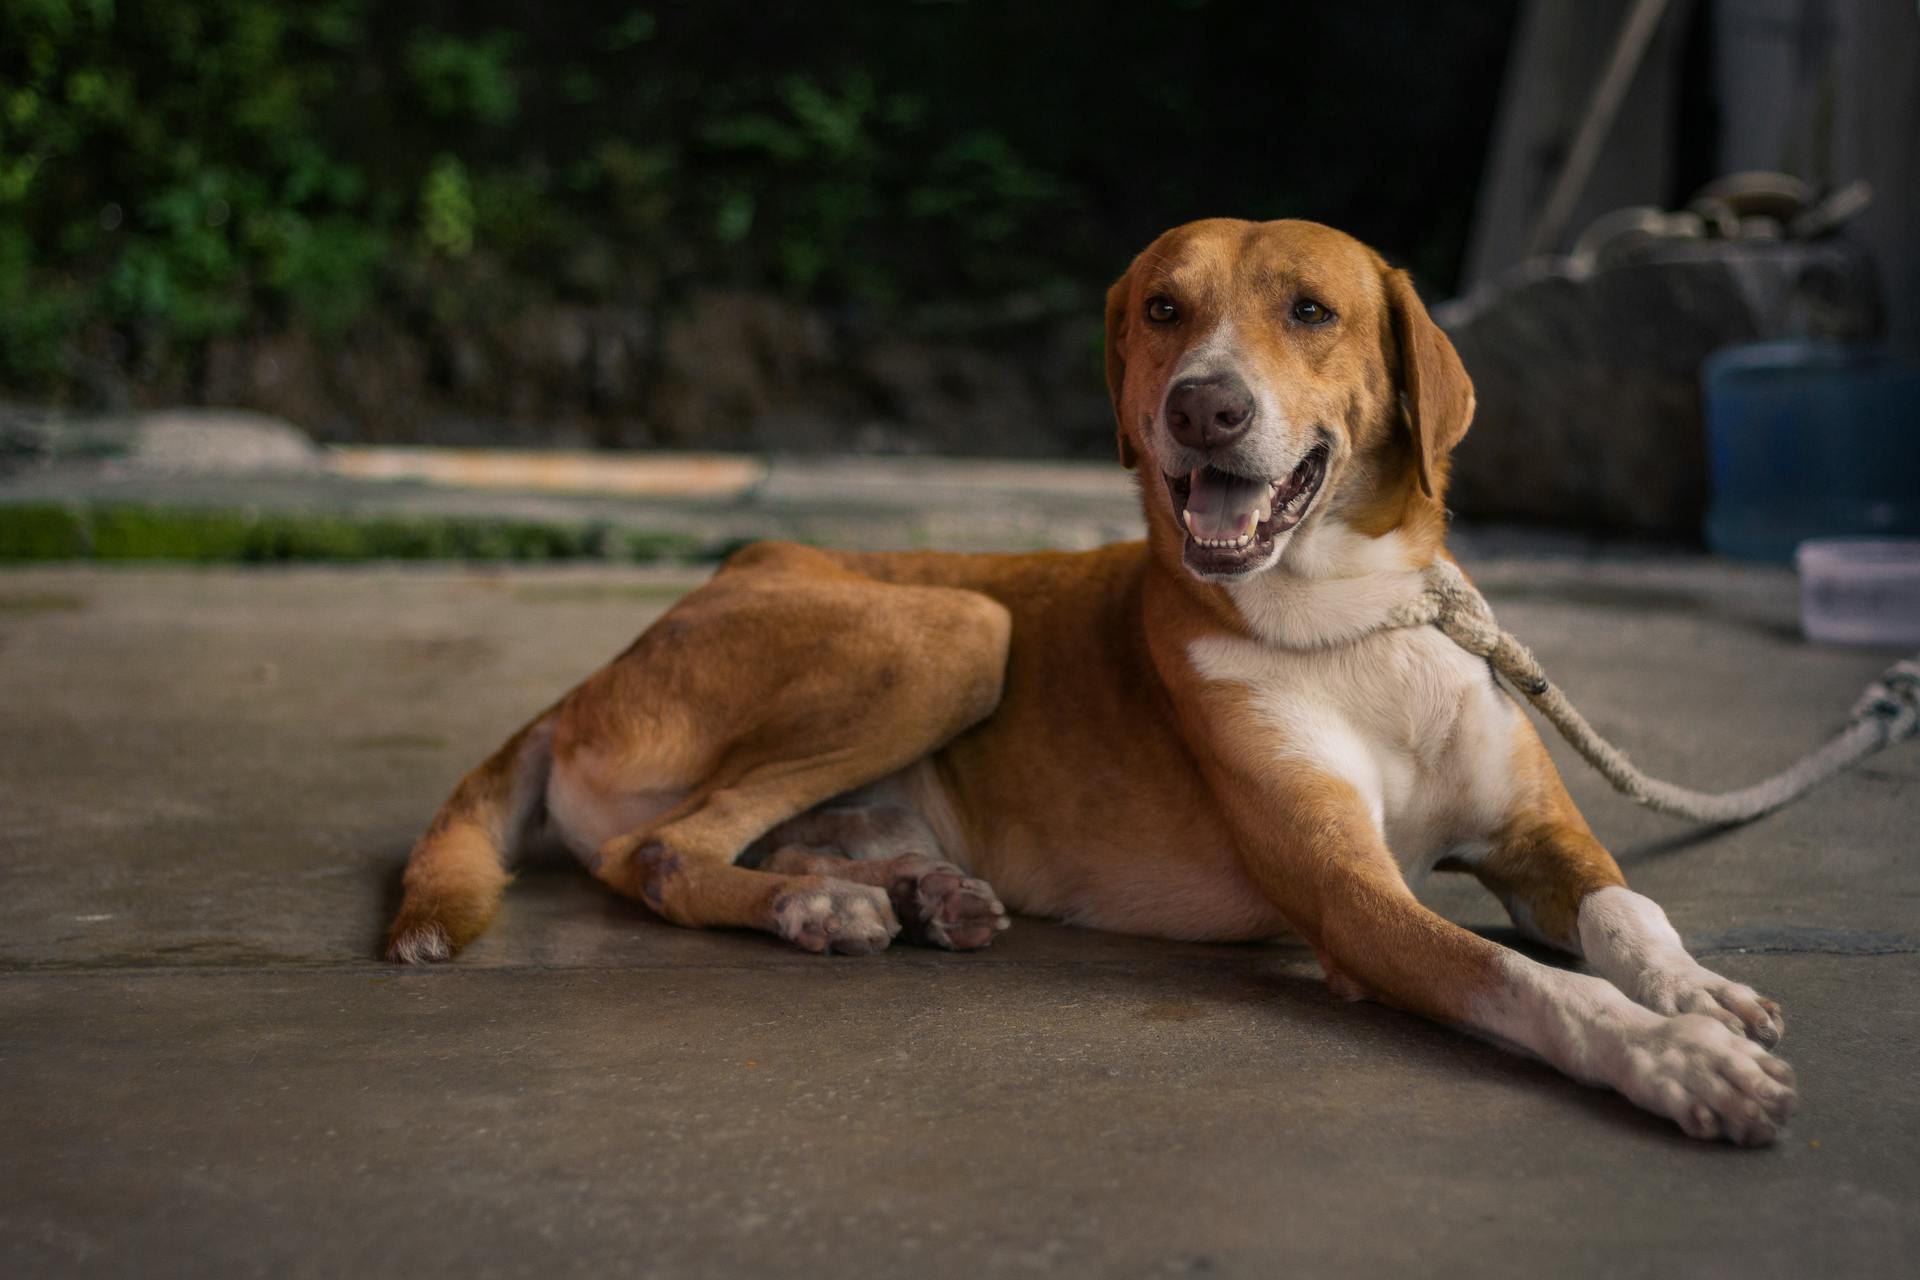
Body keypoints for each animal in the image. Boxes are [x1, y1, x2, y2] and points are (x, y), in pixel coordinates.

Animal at [389, 217, 1797, 1143]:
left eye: (1312, 310)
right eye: (1164, 310)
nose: (1204, 408)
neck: (1355, 621)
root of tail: (590, 678)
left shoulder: (1539, 833)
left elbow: (1625, 915)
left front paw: (1698, 992)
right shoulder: (1354, 901)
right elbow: (1536, 981)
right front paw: (1673, 1056)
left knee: (776, 837)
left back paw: (912, 890)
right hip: (954, 626)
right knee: (668, 853)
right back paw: (822, 909)